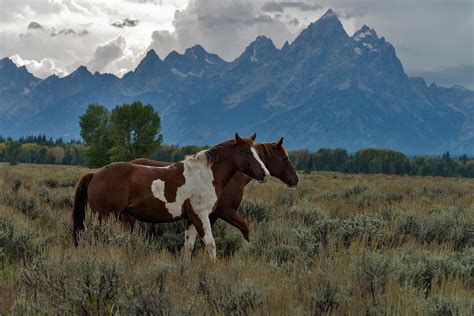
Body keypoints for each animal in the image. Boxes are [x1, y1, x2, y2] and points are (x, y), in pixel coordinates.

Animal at [72, 133, 268, 260]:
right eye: (247, 152)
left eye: (257, 152)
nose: (264, 174)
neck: (204, 174)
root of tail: (95, 173)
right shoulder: (201, 215)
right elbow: (210, 243)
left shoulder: (190, 219)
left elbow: (188, 246)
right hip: (103, 216)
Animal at [131, 136, 298, 254]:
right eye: (285, 158)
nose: (295, 179)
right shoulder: (224, 211)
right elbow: (244, 229)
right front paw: (246, 253)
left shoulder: (210, 215)